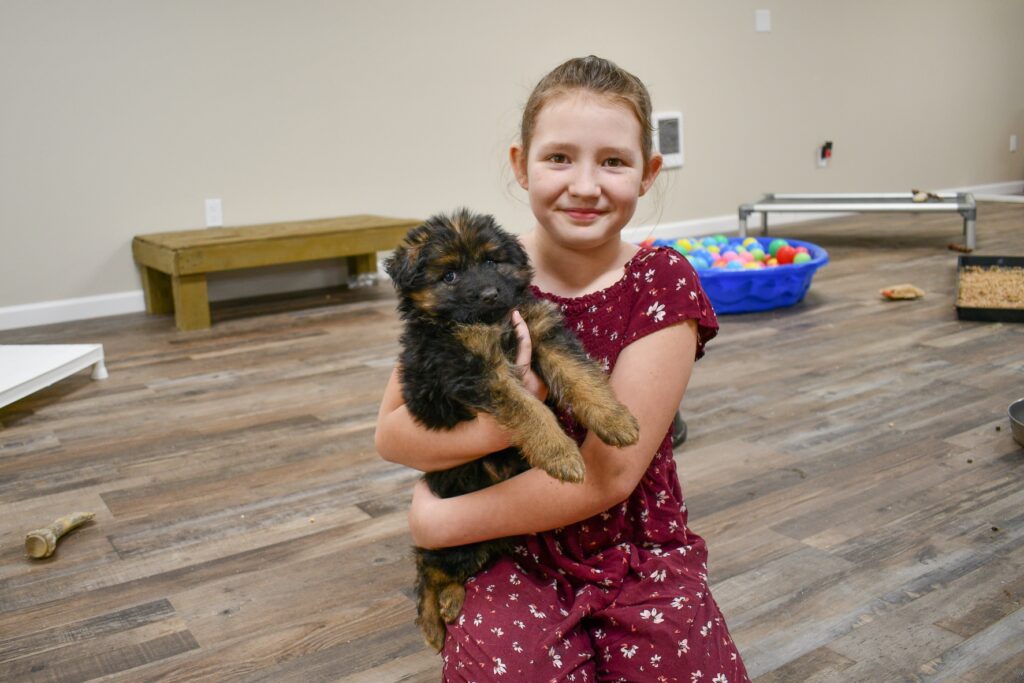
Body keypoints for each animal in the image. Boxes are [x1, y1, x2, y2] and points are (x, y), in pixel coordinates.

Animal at [385, 208, 638, 651]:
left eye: (491, 260)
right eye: (449, 276)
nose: (489, 294)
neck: (489, 320)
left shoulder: (540, 330)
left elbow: (580, 375)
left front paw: (615, 419)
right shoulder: (476, 369)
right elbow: (528, 409)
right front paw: (560, 453)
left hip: (490, 534)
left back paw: (450, 603)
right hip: (458, 527)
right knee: (427, 566)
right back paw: (432, 622)